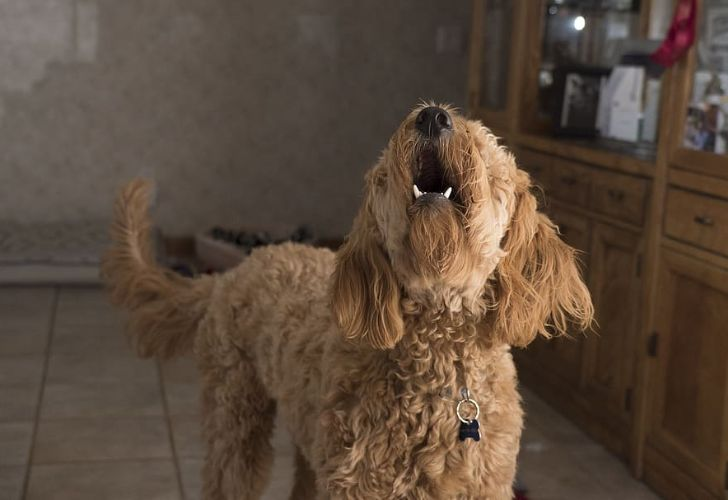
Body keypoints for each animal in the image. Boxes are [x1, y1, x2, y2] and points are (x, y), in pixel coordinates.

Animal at [102, 103, 592, 498]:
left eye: (483, 144)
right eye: (385, 171)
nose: (433, 115)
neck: (439, 357)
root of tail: (233, 273)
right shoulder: (357, 483)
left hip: (308, 438)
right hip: (235, 418)